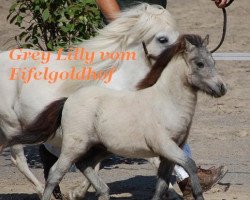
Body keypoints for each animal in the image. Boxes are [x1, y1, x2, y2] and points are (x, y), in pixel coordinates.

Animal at [8, 34, 227, 200]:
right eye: (200, 63)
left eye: (213, 62)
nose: (222, 88)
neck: (166, 102)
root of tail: (69, 99)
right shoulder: (165, 146)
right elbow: (190, 165)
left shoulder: (170, 152)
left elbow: (161, 186)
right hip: (74, 146)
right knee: (55, 173)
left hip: (100, 147)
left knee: (85, 165)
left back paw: (103, 192)